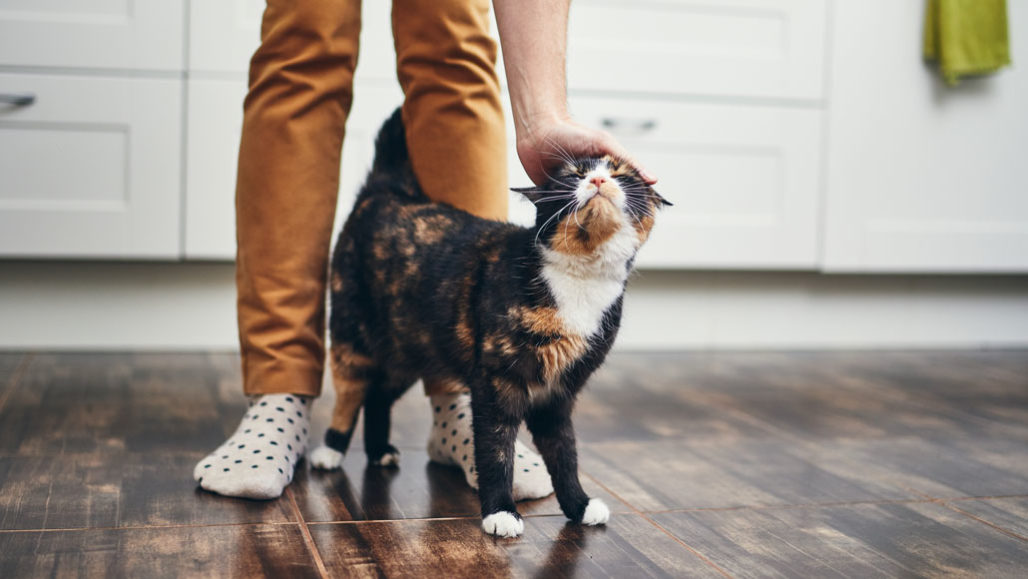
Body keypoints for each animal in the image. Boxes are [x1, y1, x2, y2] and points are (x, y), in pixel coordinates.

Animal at [308, 109, 670, 538]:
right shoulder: (497, 383)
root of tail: (387, 192)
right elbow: (496, 451)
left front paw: (579, 505)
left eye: (621, 174)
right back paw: (330, 449)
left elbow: (565, 454)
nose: (598, 181)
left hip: (410, 349)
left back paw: (379, 451)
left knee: (379, 395)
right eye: (574, 174)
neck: (580, 279)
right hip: (353, 336)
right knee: (351, 393)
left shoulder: (559, 394)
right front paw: (500, 511)